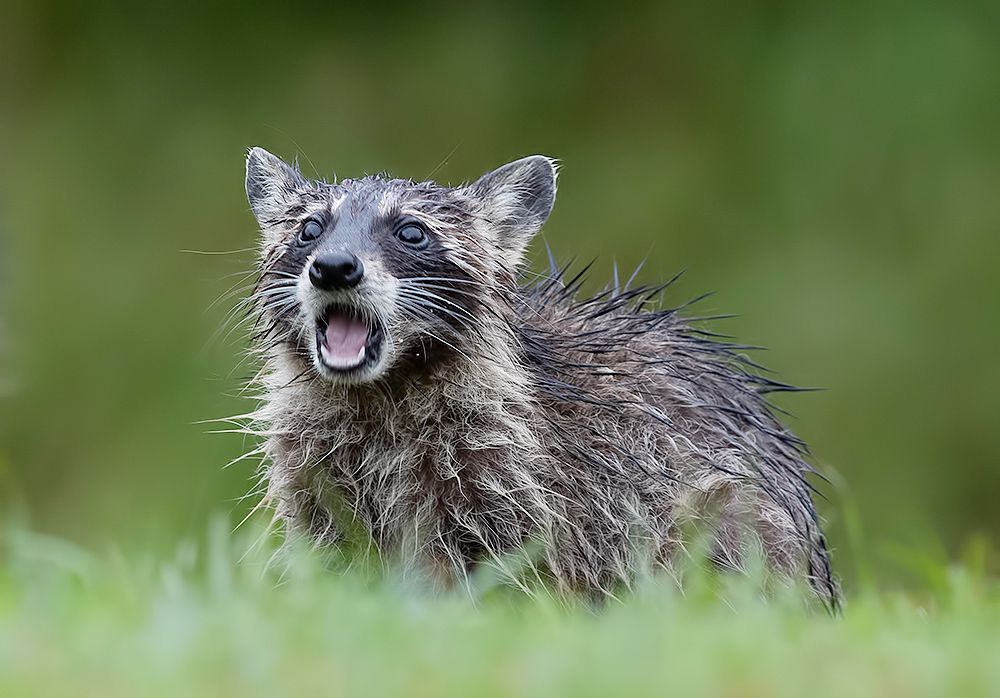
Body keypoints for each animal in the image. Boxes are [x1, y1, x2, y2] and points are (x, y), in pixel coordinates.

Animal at [240, 147, 838, 607]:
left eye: (412, 232)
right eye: (310, 228)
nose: (333, 267)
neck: (380, 389)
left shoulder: (509, 472)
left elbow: (501, 572)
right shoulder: (314, 473)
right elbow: (332, 561)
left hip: (732, 517)